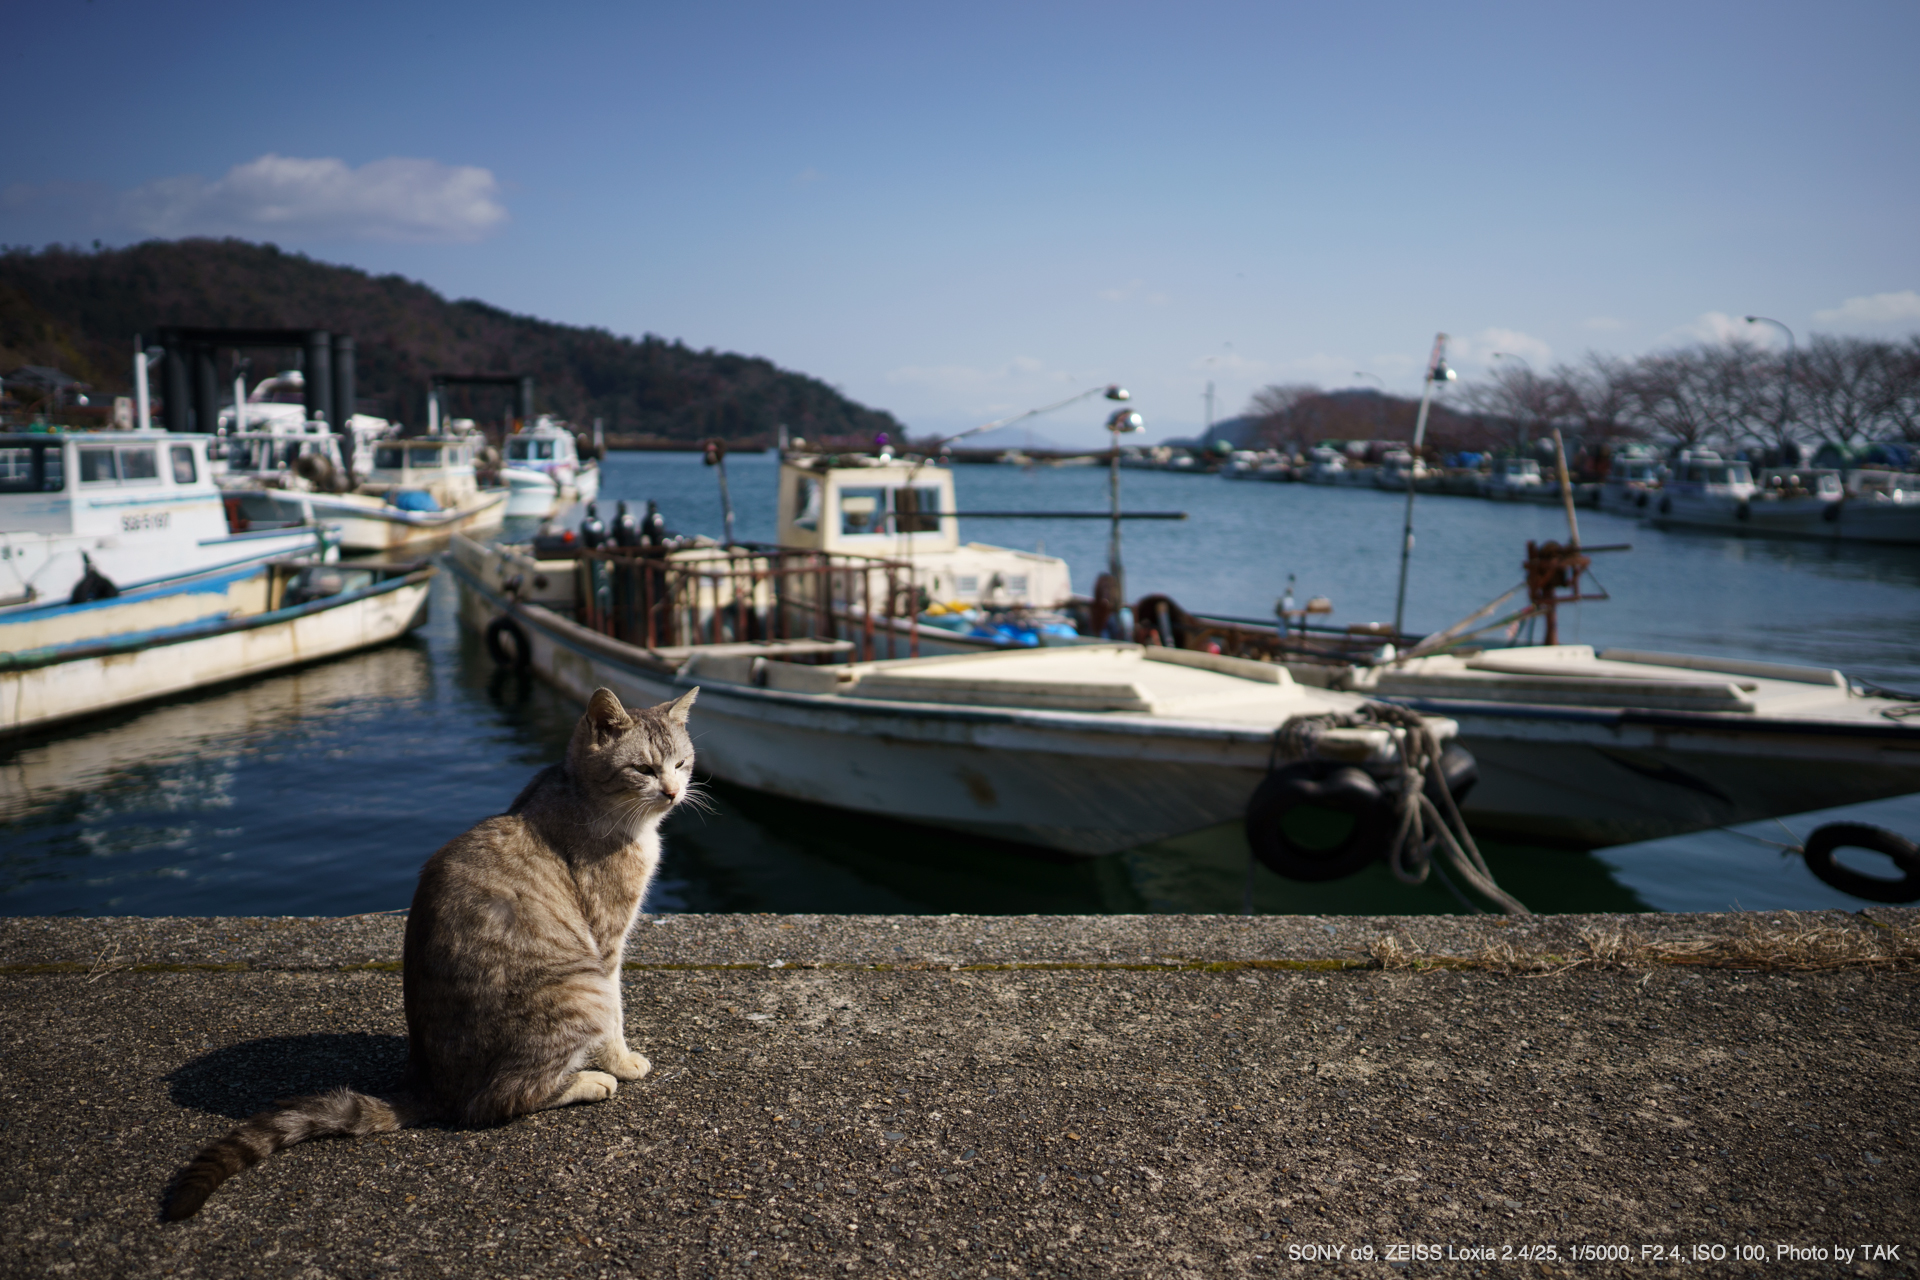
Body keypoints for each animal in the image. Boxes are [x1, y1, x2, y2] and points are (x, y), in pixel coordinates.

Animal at [161, 690, 695, 1220]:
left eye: (682, 763)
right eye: (644, 769)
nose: (673, 792)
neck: (586, 796)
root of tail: (430, 1085)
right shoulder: (606, 945)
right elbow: (617, 1019)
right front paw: (621, 1062)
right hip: (582, 987)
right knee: (495, 1102)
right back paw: (587, 1081)